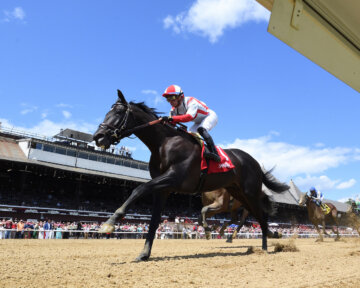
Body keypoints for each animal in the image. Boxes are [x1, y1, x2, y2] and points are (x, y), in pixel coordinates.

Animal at [93, 90, 290, 260]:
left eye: (118, 112)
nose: (98, 136)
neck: (164, 143)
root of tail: (255, 162)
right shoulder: (163, 188)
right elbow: (154, 221)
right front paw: (144, 254)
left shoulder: (173, 178)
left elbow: (139, 189)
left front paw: (110, 222)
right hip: (238, 194)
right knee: (254, 216)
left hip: (250, 192)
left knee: (262, 216)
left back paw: (264, 247)